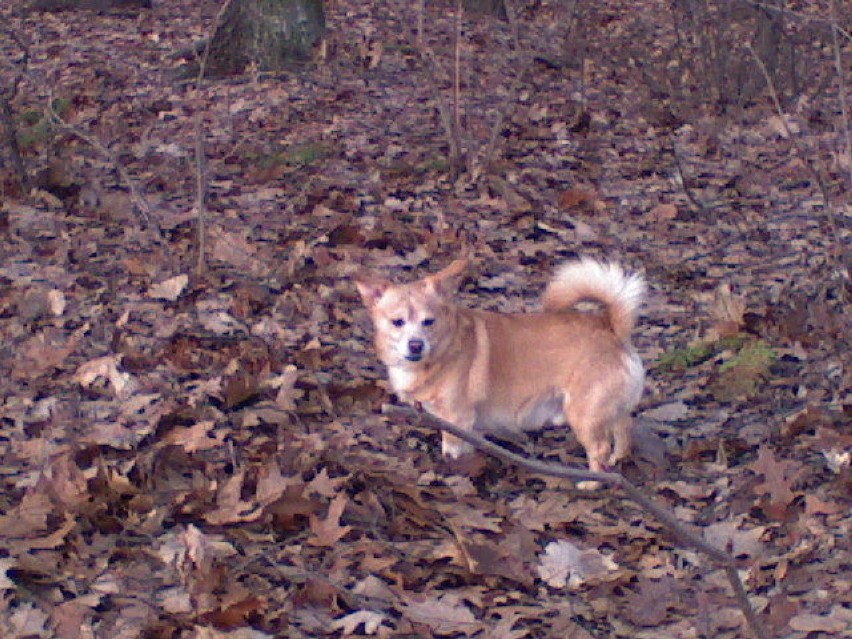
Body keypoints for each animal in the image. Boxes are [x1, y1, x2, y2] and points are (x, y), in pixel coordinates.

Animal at [354, 258, 644, 482]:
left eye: (429, 322)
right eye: (397, 322)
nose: (415, 345)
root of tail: (610, 327)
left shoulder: (456, 419)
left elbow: (451, 449)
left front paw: (453, 469)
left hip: (583, 414)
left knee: (600, 449)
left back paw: (593, 482)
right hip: (608, 409)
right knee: (624, 429)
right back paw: (617, 460)